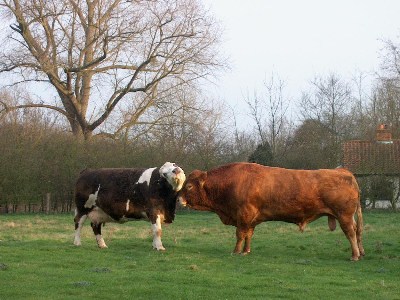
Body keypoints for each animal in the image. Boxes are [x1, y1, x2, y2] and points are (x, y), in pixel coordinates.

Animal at [178, 162, 366, 260]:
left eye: (189, 186)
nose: (179, 199)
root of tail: (344, 171)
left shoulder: (243, 215)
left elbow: (240, 234)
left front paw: (236, 251)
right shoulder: (251, 219)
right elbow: (248, 235)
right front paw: (246, 251)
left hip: (344, 216)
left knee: (350, 233)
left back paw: (355, 255)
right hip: (348, 216)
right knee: (357, 231)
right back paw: (360, 252)